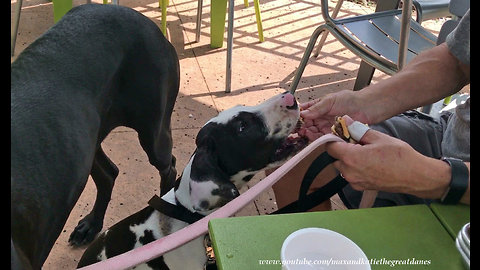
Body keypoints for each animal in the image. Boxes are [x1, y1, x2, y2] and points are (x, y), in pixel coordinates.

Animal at [11, 3, 180, 268]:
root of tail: (151, 25)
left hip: (153, 132)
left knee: (168, 166)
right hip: (88, 144)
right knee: (109, 173)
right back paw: (91, 225)